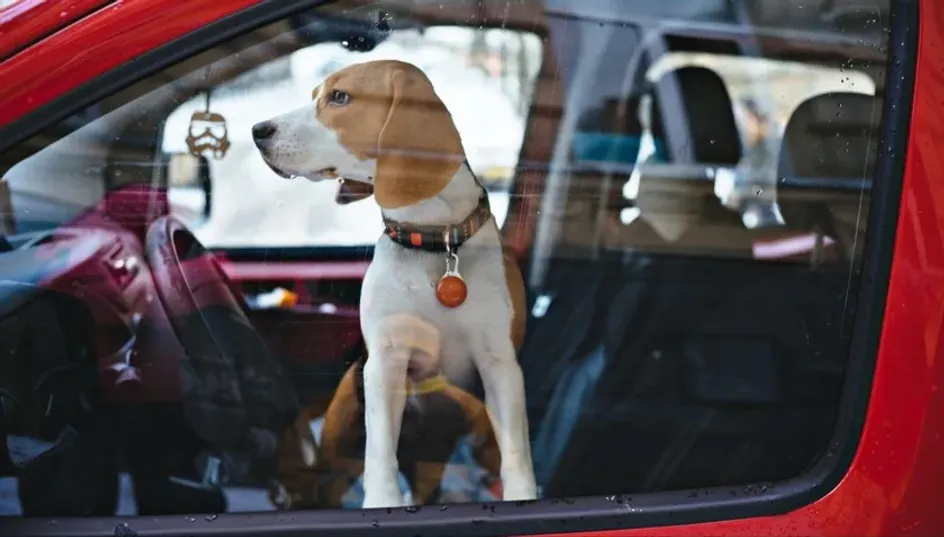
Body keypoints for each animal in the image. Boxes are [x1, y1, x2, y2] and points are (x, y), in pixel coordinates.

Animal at [253, 60, 540, 508]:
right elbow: (380, 451)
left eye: (339, 97)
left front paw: (523, 498)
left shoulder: (500, 363)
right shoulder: (386, 360)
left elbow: (516, 453)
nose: (258, 130)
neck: (434, 242)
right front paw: (383, 503)